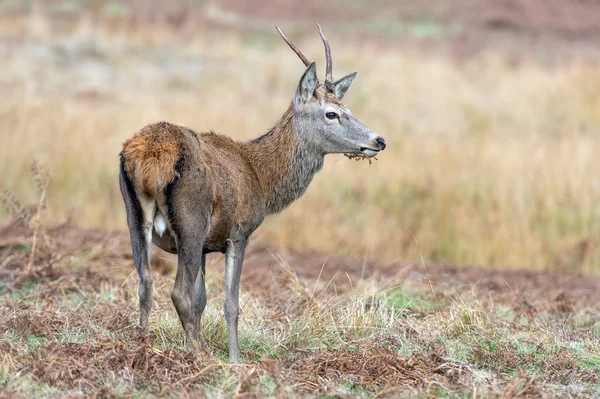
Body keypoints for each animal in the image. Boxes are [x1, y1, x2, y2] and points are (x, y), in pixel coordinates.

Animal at [119, 24, 386, 362]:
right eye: (331, 114)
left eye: (346, 108)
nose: (379, 140)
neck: (261, 177)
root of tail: (151, 157)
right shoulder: (239, 231)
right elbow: (229, 303)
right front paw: (234, 359)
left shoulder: (207, 244)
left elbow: (201, 297)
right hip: (191, 220)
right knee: (177, 292)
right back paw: (194, 355)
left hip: (133, 217)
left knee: (145, 282)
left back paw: (143, 343)